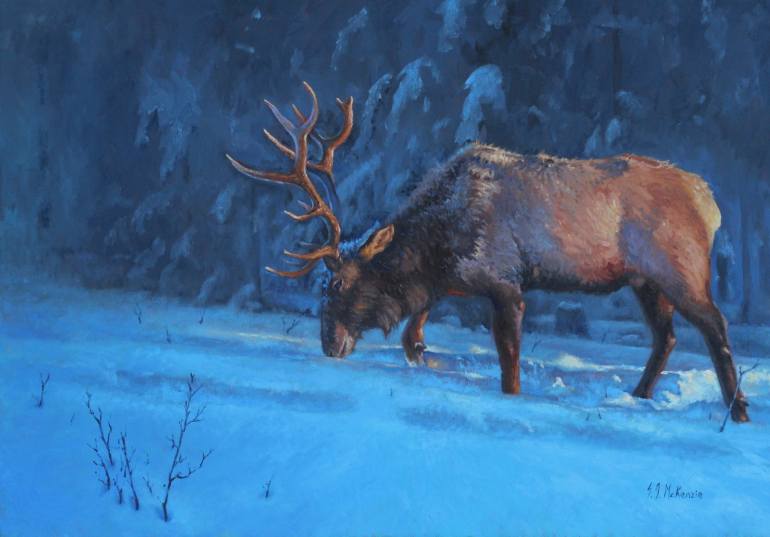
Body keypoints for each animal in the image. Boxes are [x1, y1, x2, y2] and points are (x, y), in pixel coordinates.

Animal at [226, 82, 750, 423]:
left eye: (336, 282)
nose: (329, 345)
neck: (440, 241)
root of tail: (711, 203)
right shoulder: (454, 283)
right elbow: (414, 333)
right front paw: (426, 359)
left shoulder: (504, 282)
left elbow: (508, 362)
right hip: (645, 281)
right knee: (666, 337)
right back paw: (638, 397)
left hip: (680, 267)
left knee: (715, 327)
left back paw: (738, 411)